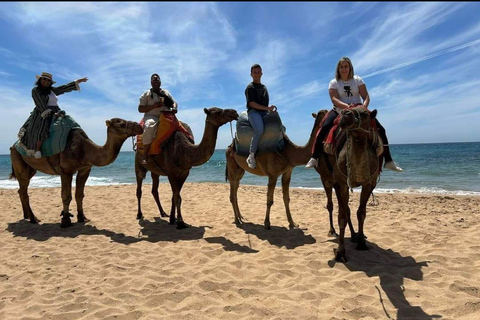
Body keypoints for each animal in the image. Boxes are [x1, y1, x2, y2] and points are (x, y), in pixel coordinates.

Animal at [9, 118, 142, 228]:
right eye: (121, 122)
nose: (138, 126)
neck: (85, 149)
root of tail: (13, 145)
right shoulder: (66, 171)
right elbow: (66, 196)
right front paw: (66, 221)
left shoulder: (85, 169)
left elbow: (79, 194)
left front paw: (82, 218)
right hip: (18, 159)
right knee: (24, 190)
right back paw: (33, 218)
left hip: (30, 168)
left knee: (21, 190)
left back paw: (26, 215)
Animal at [326, 105, 382, 262]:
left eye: (365, 114)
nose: (345, 114)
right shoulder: (340, 183)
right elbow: (342, 216)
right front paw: (340, 252)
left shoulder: (370, 183)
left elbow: (361, 213)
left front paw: (361, 242)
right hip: (327, 179)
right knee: (334, 205)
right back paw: (334, 232)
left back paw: (355, 236)